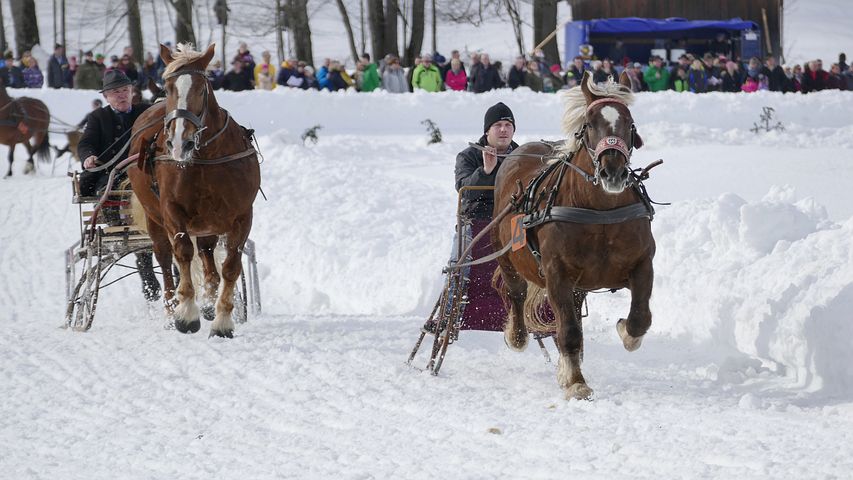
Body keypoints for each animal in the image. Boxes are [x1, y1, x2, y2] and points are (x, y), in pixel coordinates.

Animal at [127, 45, 260, 338]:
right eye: (168, 88)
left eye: (201, 89)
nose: (180, 142)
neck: (207, 159)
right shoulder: (171, 210)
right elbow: (183, 252)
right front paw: (186, 313)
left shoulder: (242, 215)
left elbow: (230, 267)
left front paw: (222, 319)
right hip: (154, 218)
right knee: (166, 258)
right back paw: (170, 309)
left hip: (208, 223)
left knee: (208, 256)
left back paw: (209, 301)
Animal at [490, 71, 656, 402]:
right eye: (589, 124)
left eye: (629, 122)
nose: (613, 173)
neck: (600, 212)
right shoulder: (557, 274)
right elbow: (567, 330)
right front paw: (576, 382)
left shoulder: (643, 263)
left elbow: (640, 318)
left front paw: (624, 330)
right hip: (508, 257)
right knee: (516, 294)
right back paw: (517, 335)